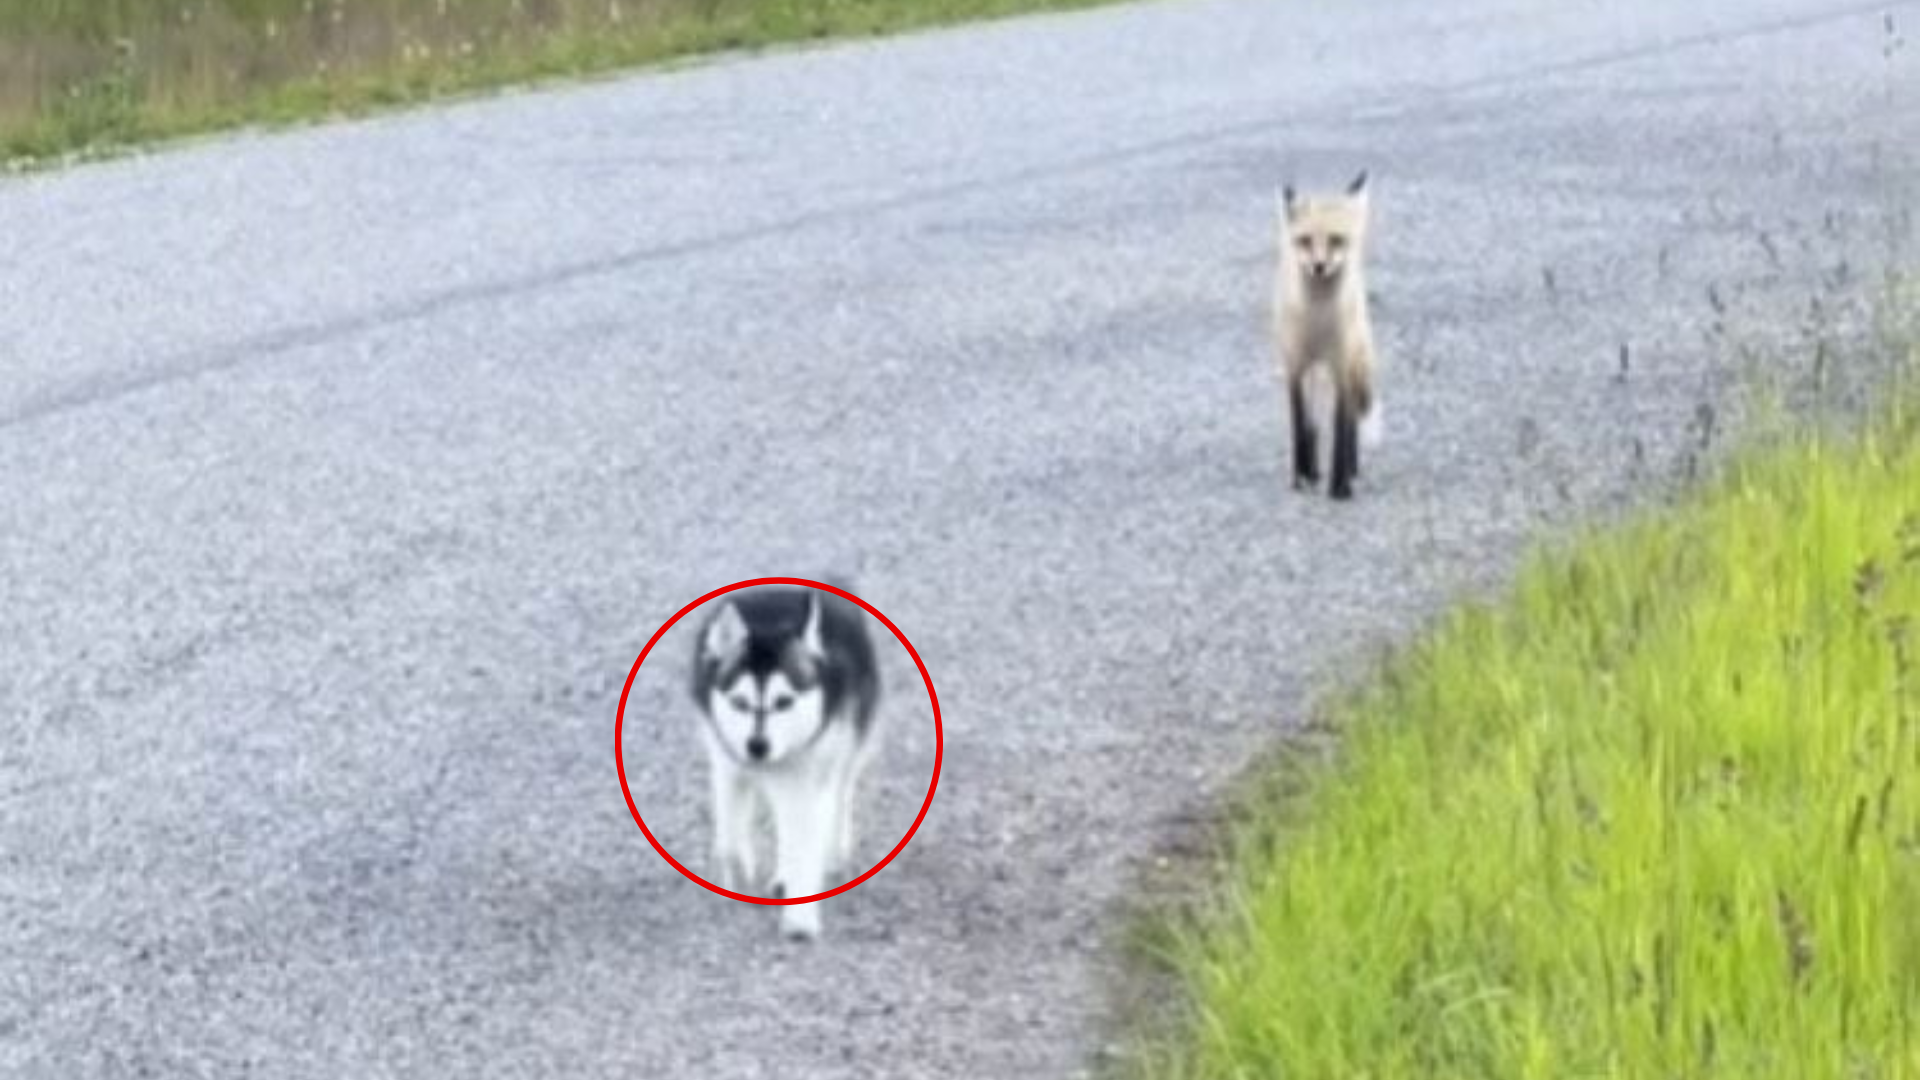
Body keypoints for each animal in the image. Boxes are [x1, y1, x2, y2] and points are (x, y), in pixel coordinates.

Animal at [1272, 170, 1382, 500]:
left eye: (1336, 240)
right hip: (1313, 369)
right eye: (1305, 241)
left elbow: (1341, 425)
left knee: (1349, 423)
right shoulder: (1295, 364)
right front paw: (1300, 476)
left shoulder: (1341, 363)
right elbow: (1300, 423)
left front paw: (1340, 486)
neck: (1318, 321)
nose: (1319, 266)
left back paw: (1351, 470)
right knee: (1312, 423)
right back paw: (1312, 470)